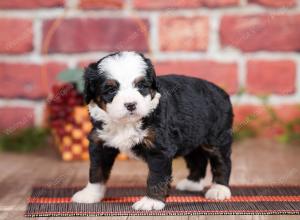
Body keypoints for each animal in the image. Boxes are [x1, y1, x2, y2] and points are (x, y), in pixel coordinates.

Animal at [71, 50, 233, 211]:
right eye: (110, 89)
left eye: (141, 85)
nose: (131, 105)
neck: (126, 123)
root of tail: (221, 91)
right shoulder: (100, 142)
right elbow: (96, 171)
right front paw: (90, 194)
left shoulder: (159, 148)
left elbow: (156, 176)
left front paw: (151, 201)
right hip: (191, 136)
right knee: (197, 159)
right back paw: (192, 183)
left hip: (217, 137)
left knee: (222, 162)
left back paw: (219, 189)